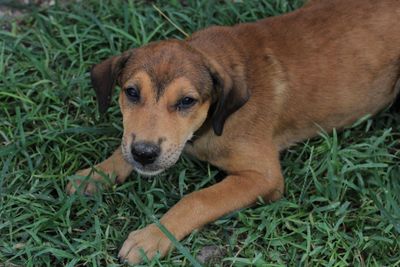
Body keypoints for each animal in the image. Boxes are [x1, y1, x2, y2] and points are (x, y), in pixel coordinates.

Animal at [65, 0, 400, 264]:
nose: (145, 154)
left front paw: (151, 238)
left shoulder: (263, 177)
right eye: (132, 92)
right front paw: (97, 174)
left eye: (187, 101)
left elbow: (197, 199)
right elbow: (123, 145)